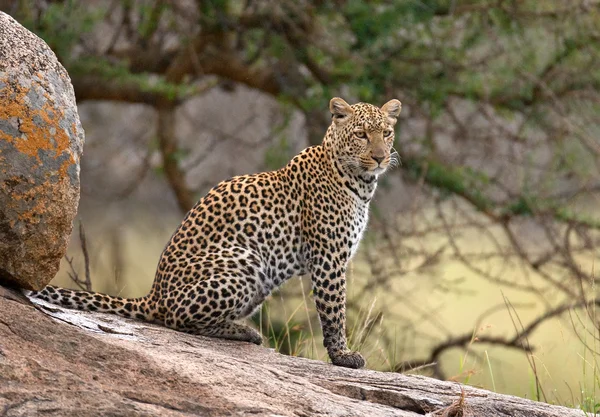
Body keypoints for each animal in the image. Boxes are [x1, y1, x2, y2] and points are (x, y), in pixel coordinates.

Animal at [29, 96, 404, 368]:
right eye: (361, 134)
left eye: (386, 134)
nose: (380, 157)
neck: (360, 182)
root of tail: (153, 294)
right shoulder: (328, 258)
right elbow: (334, 310)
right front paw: (342, 356)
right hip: (246, 260)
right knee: (178, 319)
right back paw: (243, 332)